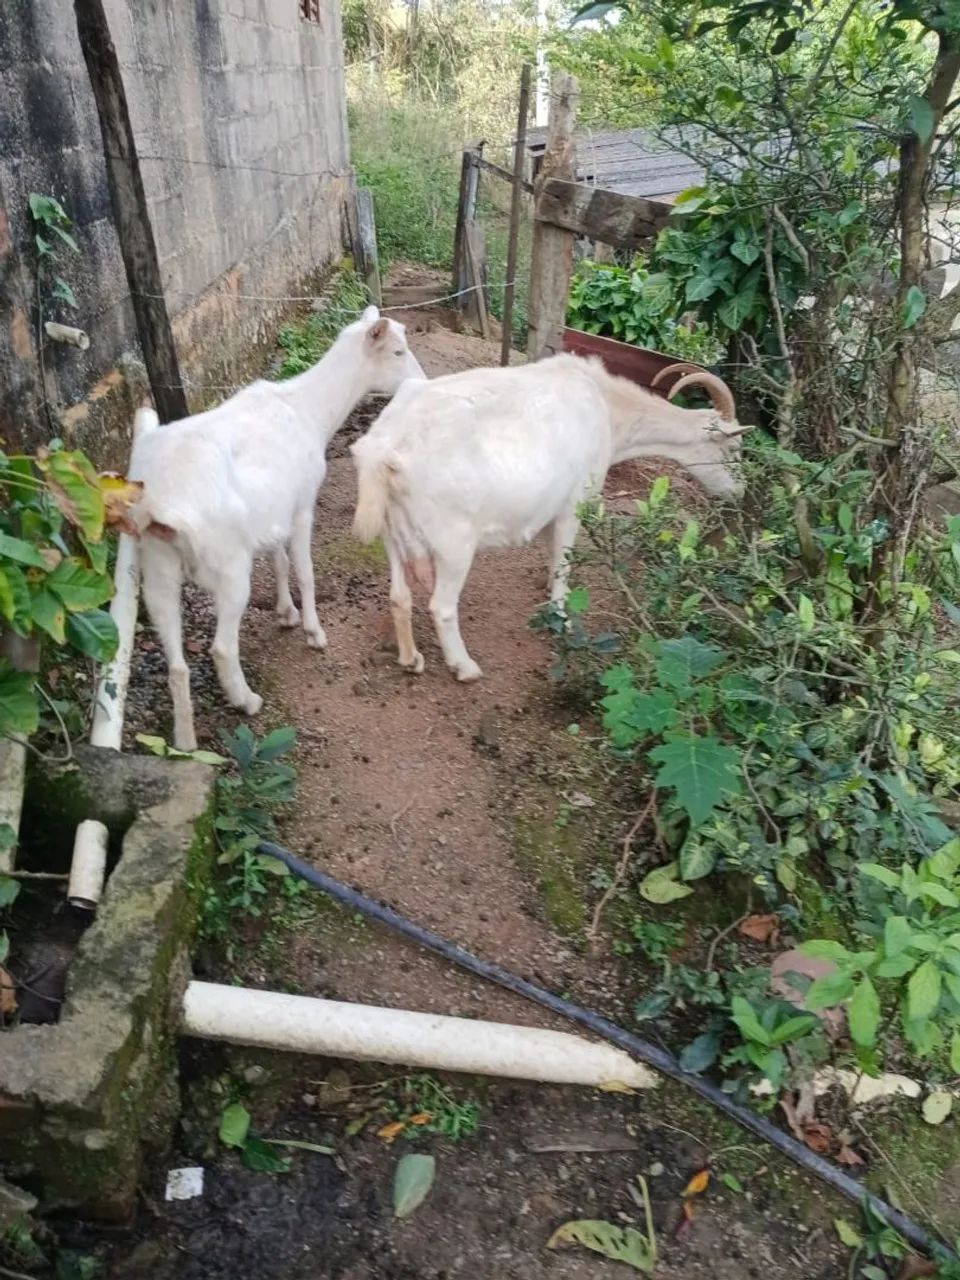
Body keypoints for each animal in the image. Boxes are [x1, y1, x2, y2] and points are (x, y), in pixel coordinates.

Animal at [130, 306, 425, 750]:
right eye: (397, 351)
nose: (421, 382)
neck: (309, 413)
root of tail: (161, 506)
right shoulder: (302, 504)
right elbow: (304, 570)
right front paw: (314, 632)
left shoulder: (274, 509)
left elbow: (279, 560)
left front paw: (286, 613)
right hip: (229, 566)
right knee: (221, 647)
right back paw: (247, 700)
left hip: (156, 565)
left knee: (177, 663)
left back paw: (184, 741)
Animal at [350, 354, 751, 682]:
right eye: (734, 448)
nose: (741, 493)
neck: (606, 408)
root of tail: (386, 448)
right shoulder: (575, 503)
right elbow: (563, 561)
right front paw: (560, 615)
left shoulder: (549, 507)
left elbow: (551, 553)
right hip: (454, 542)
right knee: (442, 606)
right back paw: (465, 667)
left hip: (392, 532)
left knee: (399, 596)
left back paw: (411, 659)